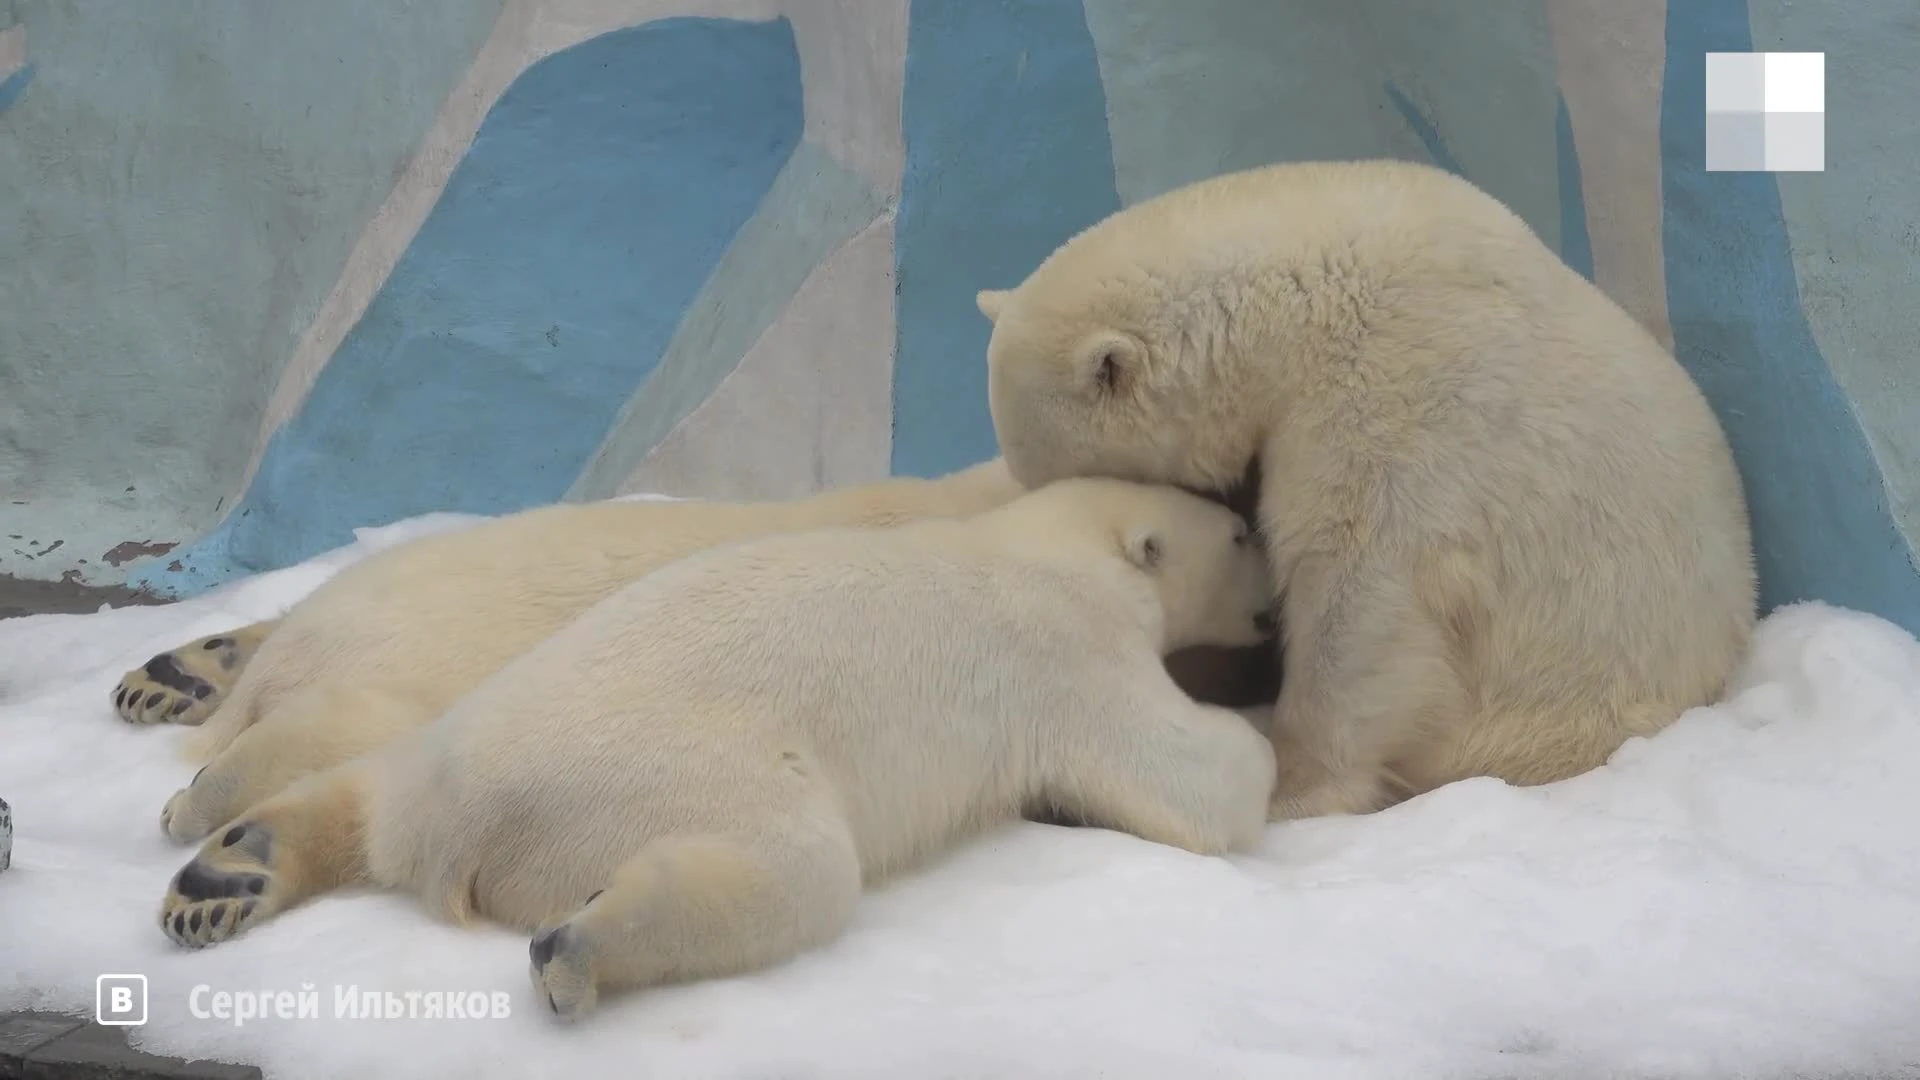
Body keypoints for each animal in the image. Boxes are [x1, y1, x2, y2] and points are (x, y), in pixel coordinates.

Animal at [157, 478, 1282, 1014]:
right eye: (1236, 533)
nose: (1276, 600)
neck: (1040, 538)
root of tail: (460, 832)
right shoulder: (1069, 650)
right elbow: (1190, 777)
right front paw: (1260, 739)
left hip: (449, 733)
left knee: (362, 785)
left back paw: (230, 866)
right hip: (684, 777)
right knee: (793, 870)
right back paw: (582, 947)